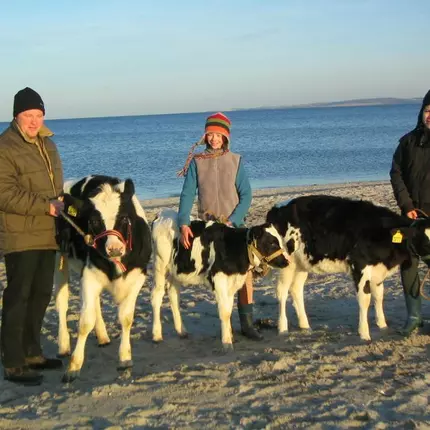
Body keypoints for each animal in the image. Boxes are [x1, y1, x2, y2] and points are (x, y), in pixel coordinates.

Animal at [55, 176, 151, 382]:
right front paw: (73, 366)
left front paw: (124, 357)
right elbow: (85, 322)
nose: (114, 248)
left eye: (124, 218)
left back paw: (102, 336)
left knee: (96, 305)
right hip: (59, 258)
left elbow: (126, 317)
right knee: (62, 302)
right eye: (94, 221)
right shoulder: (89, 276)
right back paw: (63, 345)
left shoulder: (138, 277)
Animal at [151, 210, 288, 352]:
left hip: (176, 270)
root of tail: (163, 213)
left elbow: (228, 310)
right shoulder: (219, 281)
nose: (287, 261)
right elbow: (225, 312)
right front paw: (227, 342)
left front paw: (230, 336)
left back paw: (181, 331)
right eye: (272, 243)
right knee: (157, 295)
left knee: (173, 294)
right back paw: (157, 335)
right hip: (160, 265)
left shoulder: (232, 282)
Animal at [268, 195, 430, 340]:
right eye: (425, 241)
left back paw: (305, 325)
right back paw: (282, 328)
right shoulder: (359, 266)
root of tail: (276, 209)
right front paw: (364, 334)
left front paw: (383, 326)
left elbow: (379, 296)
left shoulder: (378, 270)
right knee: (282, 291)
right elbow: (365, 299)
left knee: (296, 289)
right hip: (287, 262)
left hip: (302, 263)